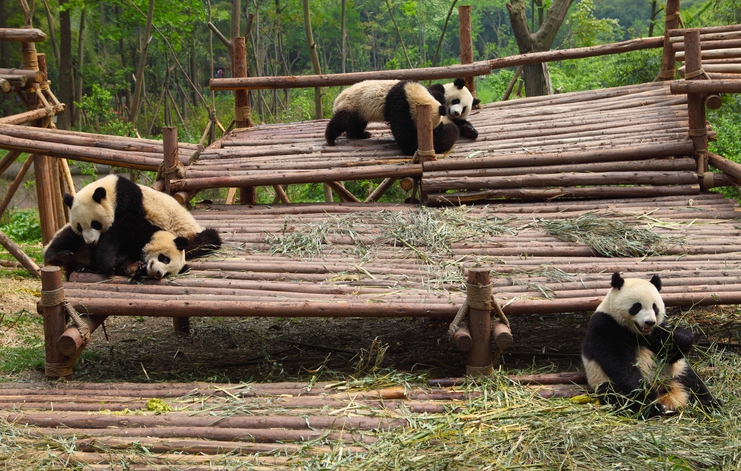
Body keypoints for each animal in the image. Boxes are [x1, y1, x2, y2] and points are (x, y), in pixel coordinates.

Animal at [43, 176, 221, 280]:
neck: (112, 190)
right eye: (80, 227)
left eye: (95, 223)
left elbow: (117, 231)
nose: (91, 242)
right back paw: (59, 256)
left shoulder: (128, 203)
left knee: (208, 239)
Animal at [324, 79, 456, 156]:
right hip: (353, 105)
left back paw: (361, 134)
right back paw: (330, 139)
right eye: (433, 127)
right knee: (343, 121)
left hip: (360, 110)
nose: (438, 131)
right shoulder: (400, 103)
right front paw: (412, 148)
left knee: (357, 123)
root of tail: (338, 99)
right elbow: (403, 132)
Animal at [580, 272, 720, 420]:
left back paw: (710, 403)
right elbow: (618, 361)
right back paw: (651, 407)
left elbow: (669, 352)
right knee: (620, 396)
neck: (636, 332)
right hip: (604, 381)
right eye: (636, 306)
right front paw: (645, 391)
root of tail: (664, 391)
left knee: (693, 382)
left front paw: (682, 337)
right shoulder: (605, 326)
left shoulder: (656, 332)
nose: (649, 322)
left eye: (655, 307)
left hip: (675, 371)